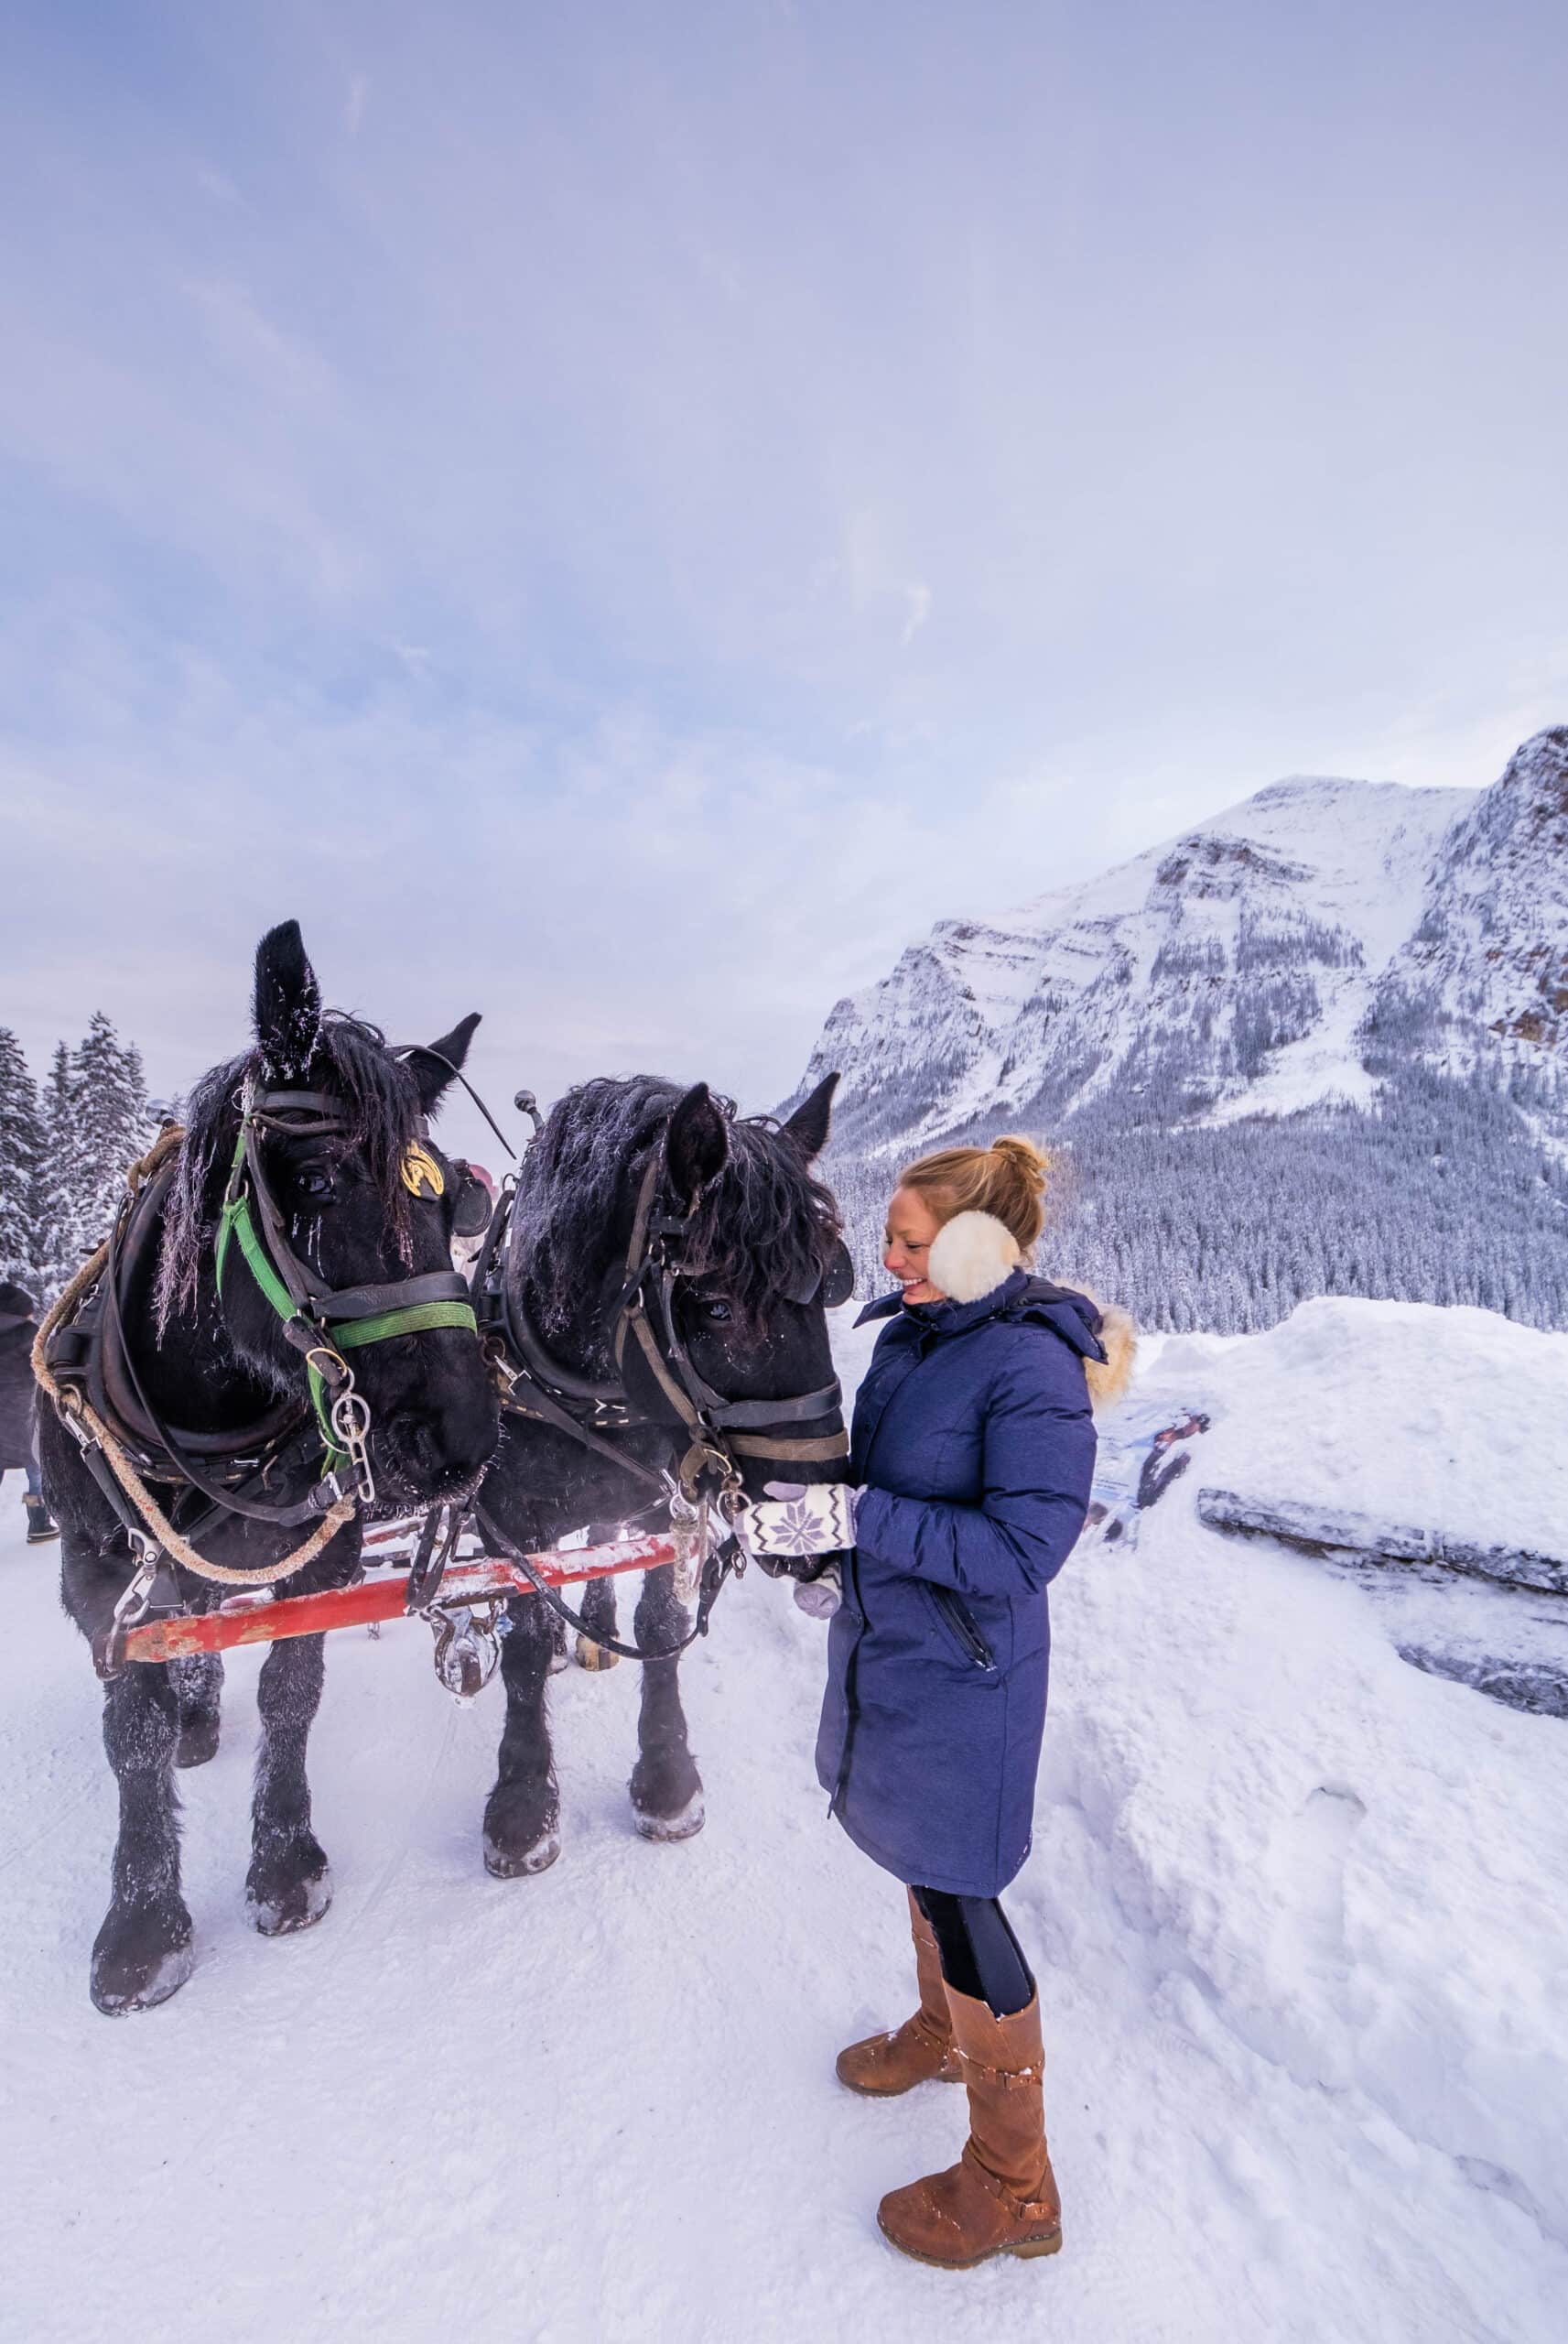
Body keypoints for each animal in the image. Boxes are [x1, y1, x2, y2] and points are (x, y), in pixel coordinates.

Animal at [41, 918, 494, 2015]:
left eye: (454, 1201)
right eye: (322, 1182)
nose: (465, 1443)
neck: (217, 1426)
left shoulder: (322, 1560)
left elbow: (293, 1692)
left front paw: (285, 1862)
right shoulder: (96, 1577)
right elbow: (133, 1733)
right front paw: (142, 1926)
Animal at [473, 1073, 843, 1875]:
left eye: (828, 1290)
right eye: (717, 1306)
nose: (819, 1530)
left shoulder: (661, 1503)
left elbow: (661, 1620)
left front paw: (667, 1780)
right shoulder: (508, 1523)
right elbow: (522, 1643)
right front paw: (521, 1802)